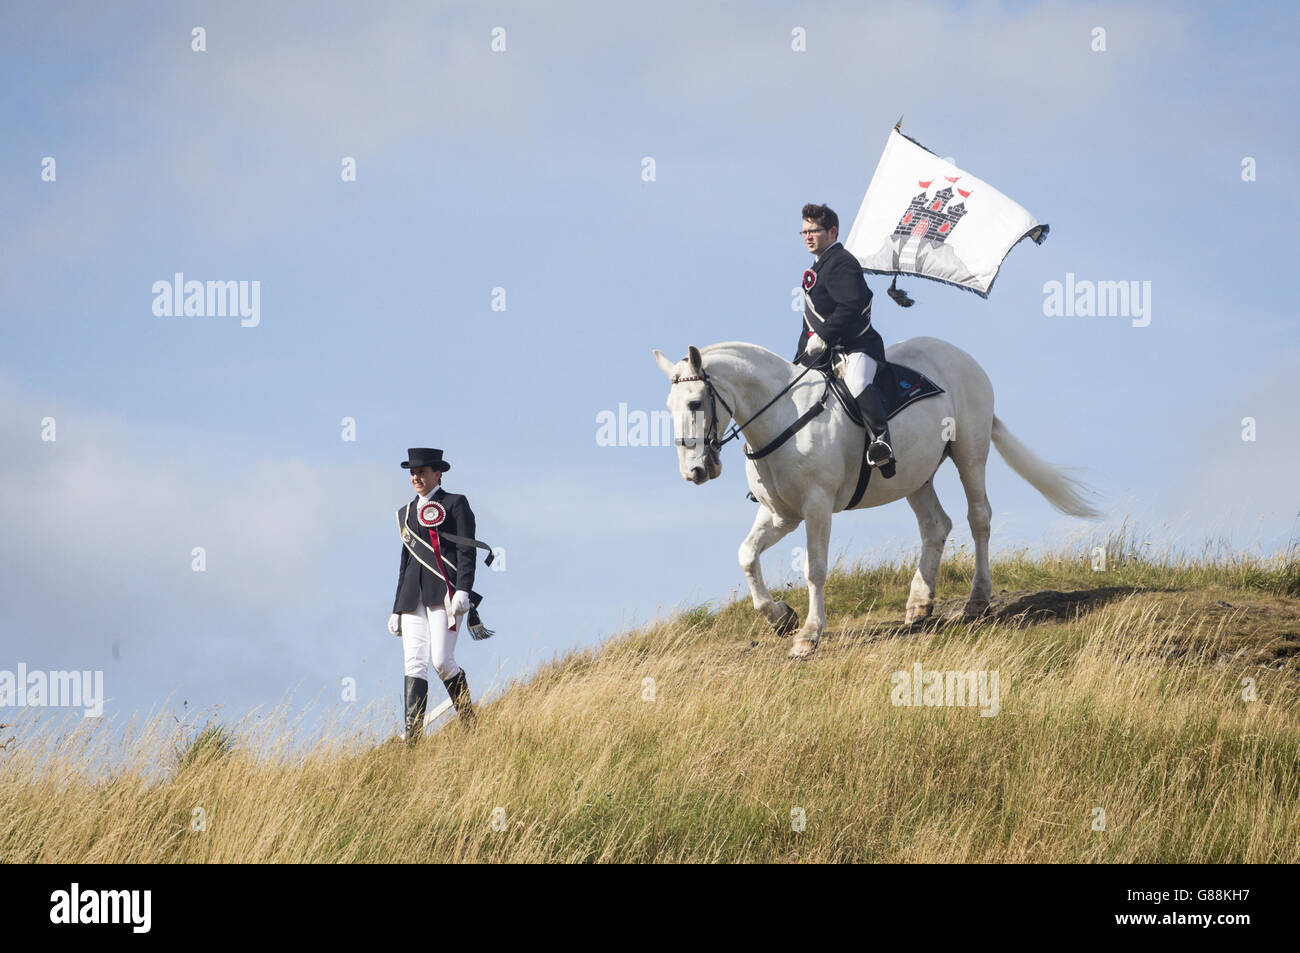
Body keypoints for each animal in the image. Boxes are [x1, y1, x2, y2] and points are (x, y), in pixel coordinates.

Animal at [652, 337, 1100, 659]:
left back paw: (977, 600)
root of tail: (960, 356)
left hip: (970, 454)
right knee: (936, 525)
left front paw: (808, 635)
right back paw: (919, 604)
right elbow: (746, 556)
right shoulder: (780, 514)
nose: (694, 471)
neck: (783, 416)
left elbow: (815, 569)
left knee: (979, 519)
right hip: (915, 476)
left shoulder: (816, 507)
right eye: (669, 407)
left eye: (696, 403)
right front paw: (781, 618)